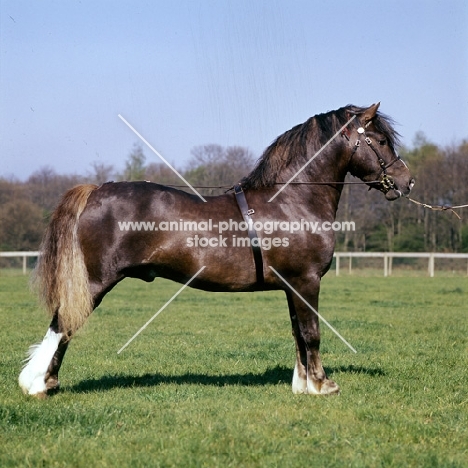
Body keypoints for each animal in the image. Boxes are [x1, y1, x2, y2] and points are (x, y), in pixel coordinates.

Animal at [17, 101, 414, 394]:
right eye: (380, 140)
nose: (406, 181)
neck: (292, 200)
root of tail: (97, 189)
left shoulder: (292, 285)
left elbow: (298, 333)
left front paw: (302, 384)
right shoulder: (307, 281)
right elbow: (312, 332)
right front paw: (321, 384)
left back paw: (47, 381)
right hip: (95, 282)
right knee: (63, 323)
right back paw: (36, 383)